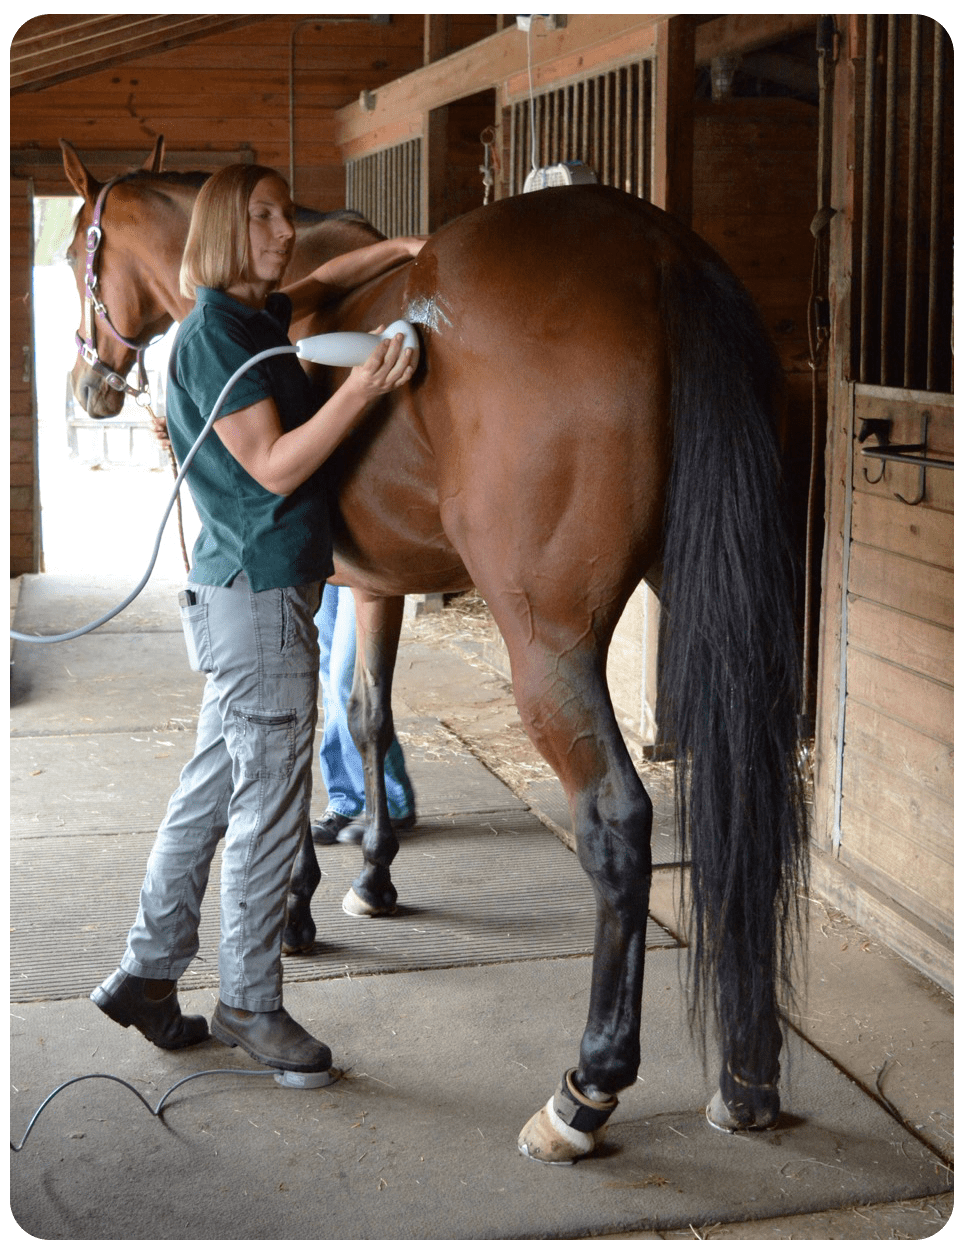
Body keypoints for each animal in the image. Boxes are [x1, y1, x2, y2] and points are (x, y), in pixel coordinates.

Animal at [60, 138, 808, 1163]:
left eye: (71, 256)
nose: (88, 386)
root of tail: (664, 257)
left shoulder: (315, 587)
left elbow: (298, 743)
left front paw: (294, 909)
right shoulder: (374, 585)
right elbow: (368, 717)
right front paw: (373, 876)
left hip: (551, 644)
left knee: (617, 823)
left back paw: (586, 1092)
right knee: (749, 790)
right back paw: (747, 1080)